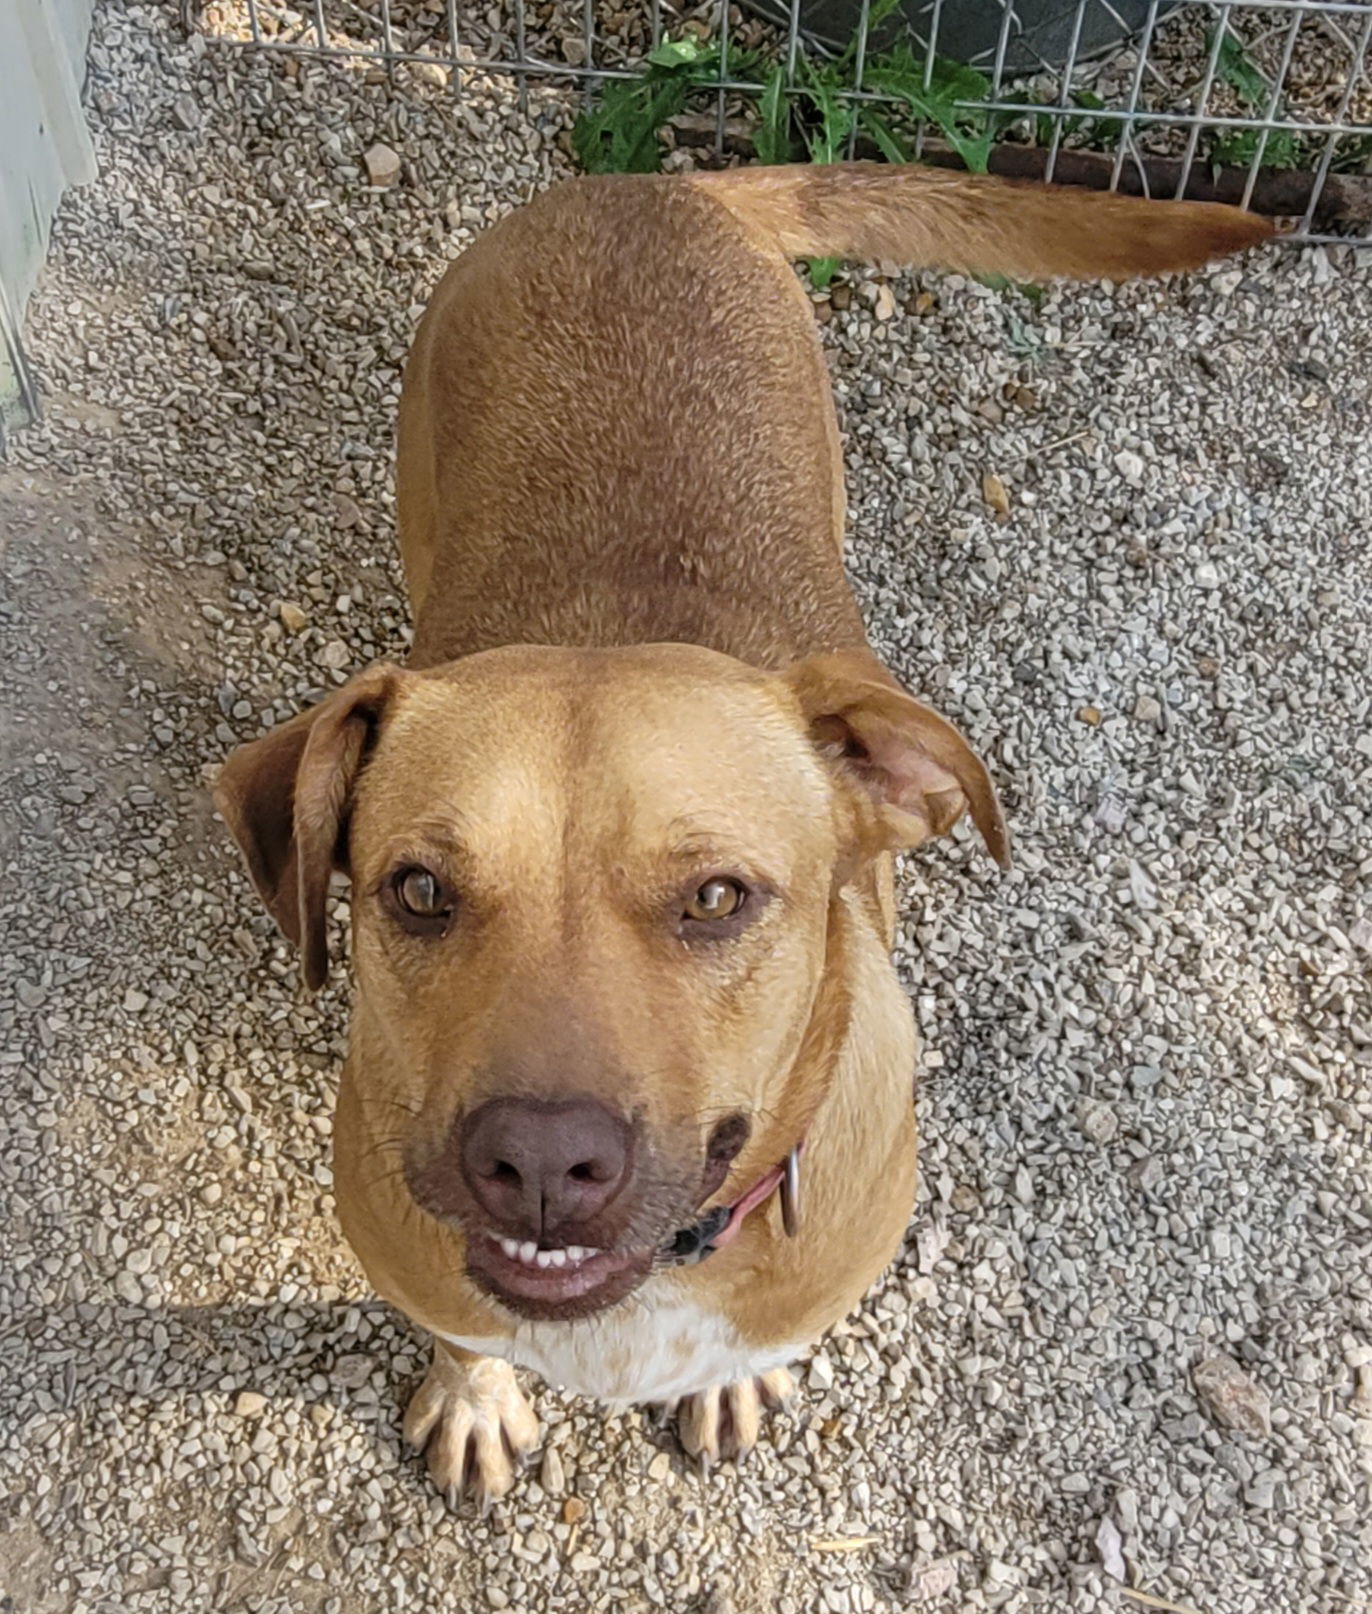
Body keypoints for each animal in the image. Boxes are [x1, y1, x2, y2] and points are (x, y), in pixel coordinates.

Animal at [216, 163, 1271, 1497]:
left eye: (716, 898)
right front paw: (473, 1397)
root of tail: (651, 183)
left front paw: (723, 1384)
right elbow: (460, 1332)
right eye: (417, 891)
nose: (541, 1165)